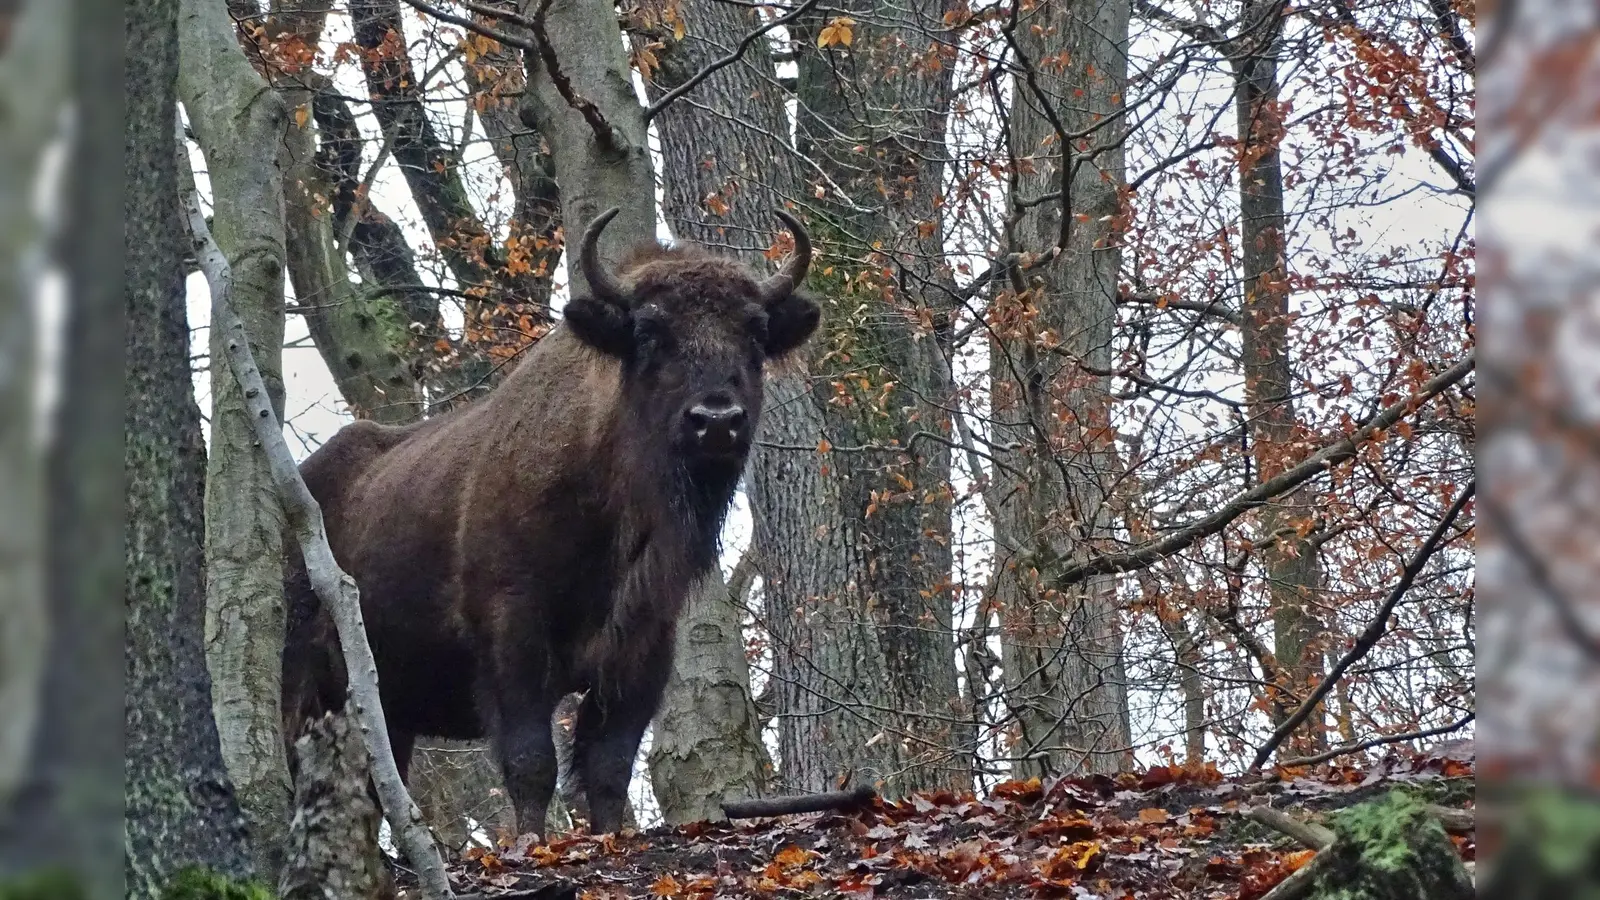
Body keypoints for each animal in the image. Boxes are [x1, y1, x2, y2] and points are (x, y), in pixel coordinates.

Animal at [280, 208, 819, 832]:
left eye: (755, 332)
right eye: (648, 332)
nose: (716, 421)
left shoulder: (640, 652)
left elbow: (608, 766)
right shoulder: (512, 637)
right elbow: (531, 762)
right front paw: (531, 843)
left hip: (389, 705)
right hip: (305, 683)